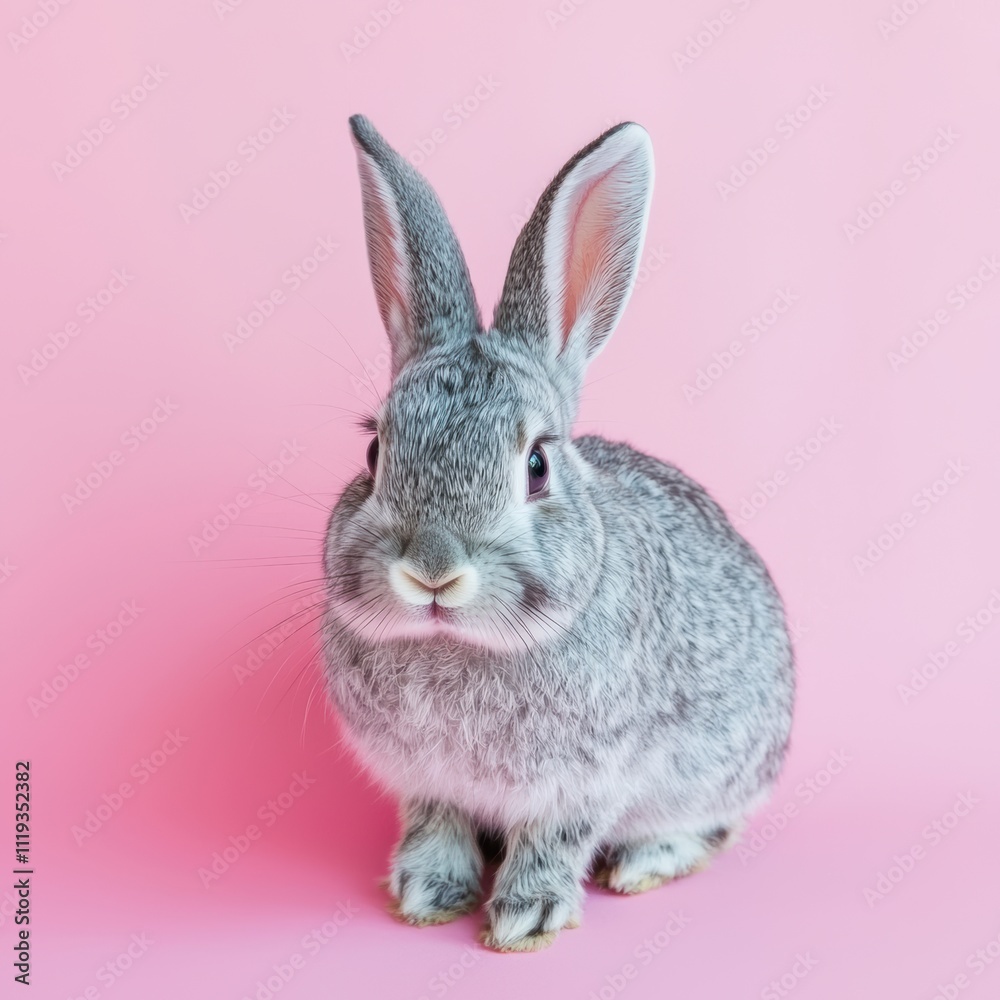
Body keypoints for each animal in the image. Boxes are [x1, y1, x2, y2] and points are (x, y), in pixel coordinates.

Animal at [322, 114, 794, 953]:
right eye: (375, 453)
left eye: (537, 466)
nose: (433, 570)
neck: (459, 647)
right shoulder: (426, 782)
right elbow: (435, 828)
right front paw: (425, 893)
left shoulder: (587, 779)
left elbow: (554, 841)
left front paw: (525, 918)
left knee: (711, 827)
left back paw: (643, 863)